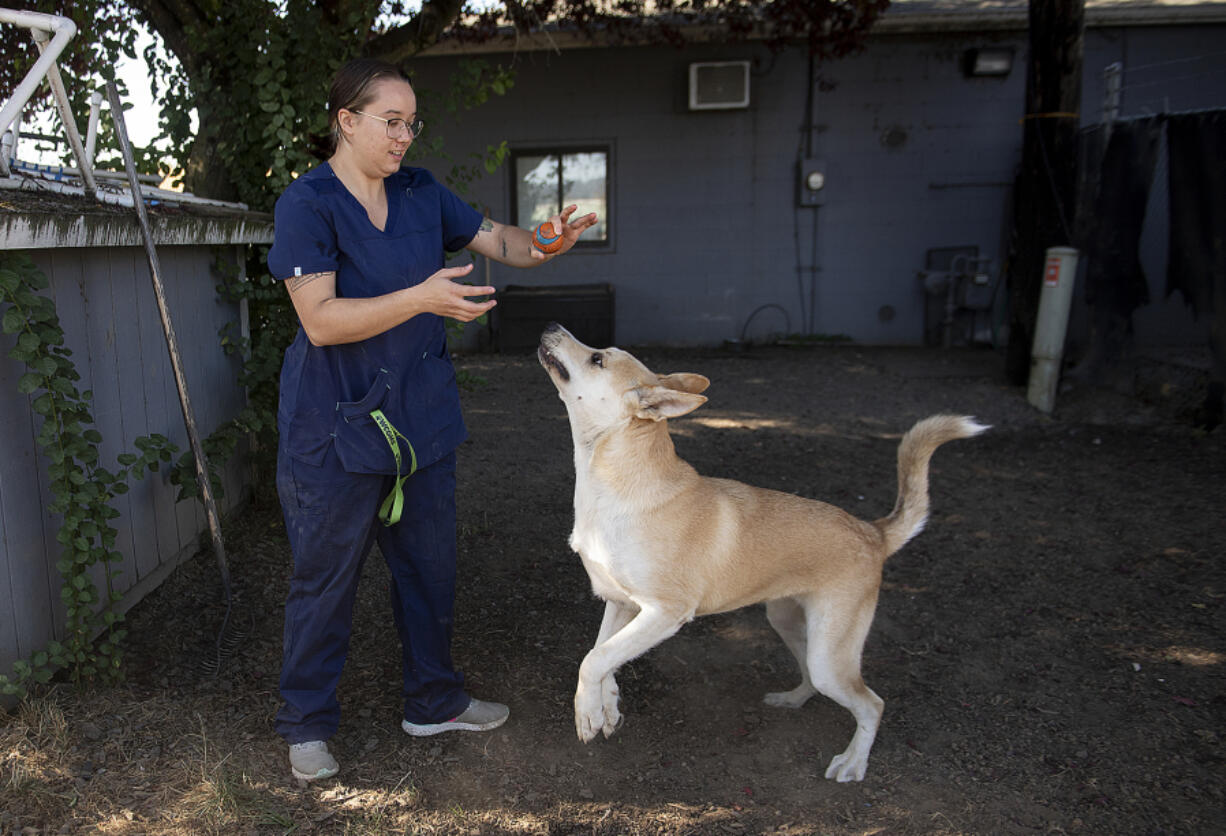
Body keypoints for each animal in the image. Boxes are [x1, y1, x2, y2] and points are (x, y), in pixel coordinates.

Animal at [536, 321, 985, 779]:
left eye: (597, 359)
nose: (552, 325)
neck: (614, 485)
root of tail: (872, 532)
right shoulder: (622, 602)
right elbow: (604, 653)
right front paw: (605, 707)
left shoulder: (664, 612)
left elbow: (594, 659)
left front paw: (588, 713)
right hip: (788, 623)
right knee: (810, 677)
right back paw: (791, 700)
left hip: (830, 656)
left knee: (871, 704)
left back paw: (853, 763)